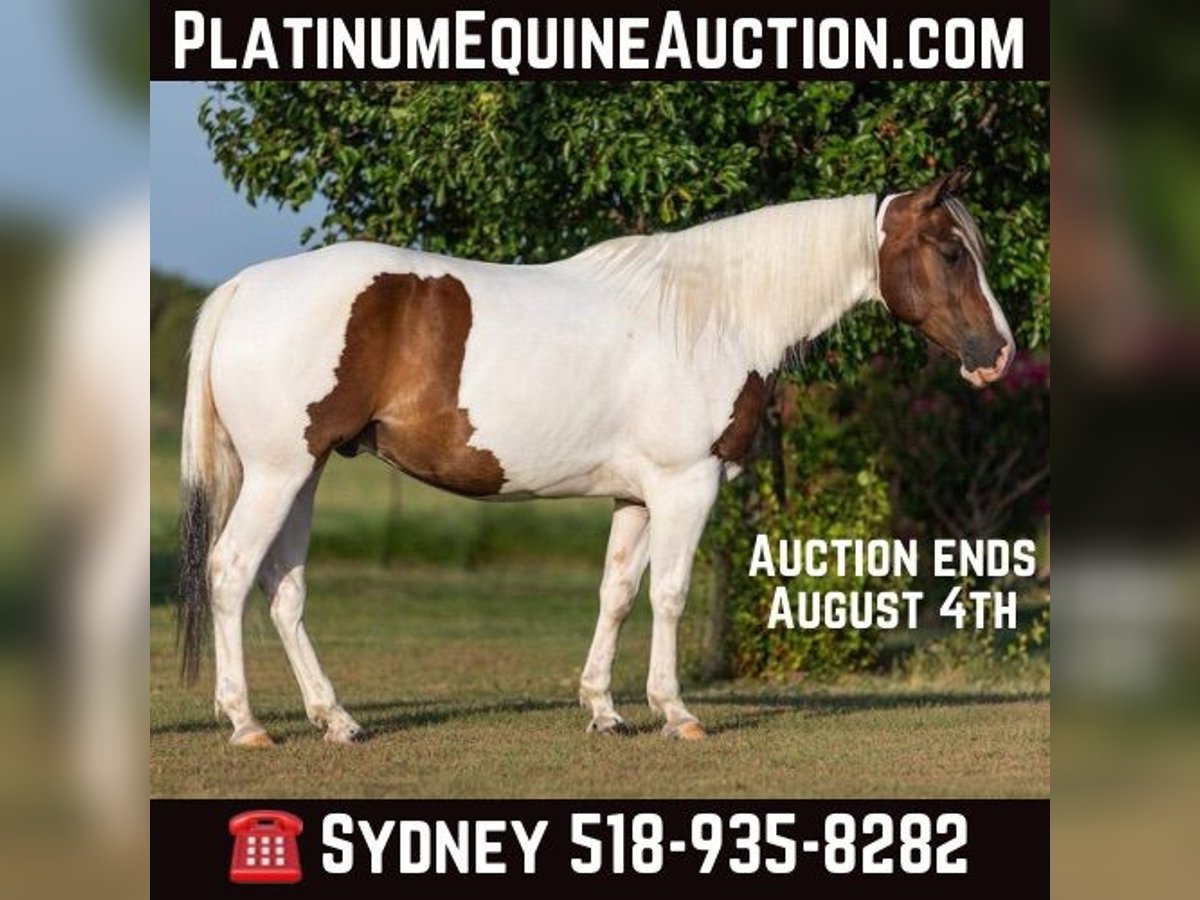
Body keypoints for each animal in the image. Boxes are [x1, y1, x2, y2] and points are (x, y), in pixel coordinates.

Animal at [177, 170, 1014, 746]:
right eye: (949, 252)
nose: (998, 355)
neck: (712, 314)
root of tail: (245, 287)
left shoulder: (638, 497)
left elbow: (617, 594)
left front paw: (606, 711)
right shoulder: (686, 486)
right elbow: (669, 594)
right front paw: (676, 712)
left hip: (305, 473)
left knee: (283, 589)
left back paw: (337, 719)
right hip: (280, 473)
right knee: (231, 572)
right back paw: (246, 723)